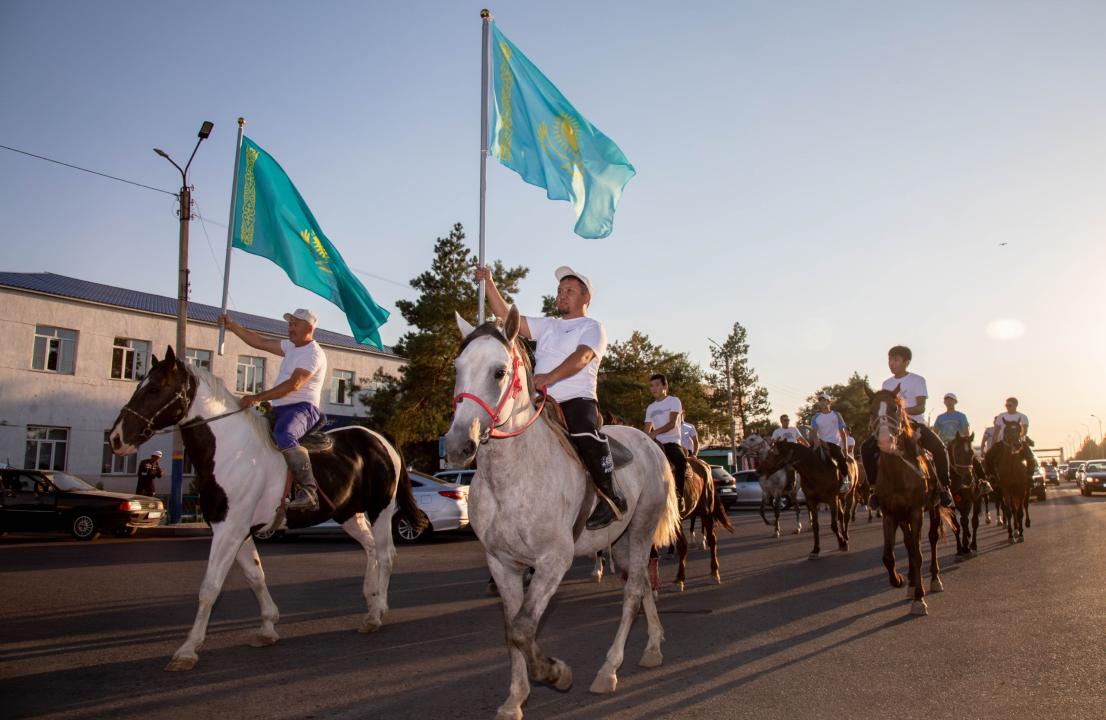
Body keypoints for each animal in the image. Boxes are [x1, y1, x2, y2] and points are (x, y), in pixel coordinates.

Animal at [108, 347, 418, 672]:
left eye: (156, 388)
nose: (115, 438)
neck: (231, 451)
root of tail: (380, 439)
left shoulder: (229, 531)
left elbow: (210, 587)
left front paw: (187, 650)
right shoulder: (237, 531)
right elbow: (256, 577)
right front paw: (268, 628)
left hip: (381, 509)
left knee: (386, 554)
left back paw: (377, 613)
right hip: (348, 514)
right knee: (370, 549)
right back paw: (371, 602)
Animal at [444, 309, 676, 720]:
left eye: (499, 371)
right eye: (458, 367)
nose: (458, 446)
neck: (513, 476)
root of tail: (651, 444)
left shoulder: (554, 560)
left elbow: (523, 628)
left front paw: (556, 673)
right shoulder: (502, 563)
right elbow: (513, 629)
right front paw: (515, 699)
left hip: (642, 530)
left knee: (632, 593)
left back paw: (608, 670)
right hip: (621, 542)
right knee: (642, 585)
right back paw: (652, 648)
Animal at [862, 384, 951, 614]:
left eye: (895, 408)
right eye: (871, 411)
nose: (885, 441)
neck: (897, 472)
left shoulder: (916, 511)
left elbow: (918, 554)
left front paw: (919, 600)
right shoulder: (890, 514)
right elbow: (889, 555)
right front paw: (900, 581)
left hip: (934, 508)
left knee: (931, 539)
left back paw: (934, 580)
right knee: (910, 544)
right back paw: (911, 584)